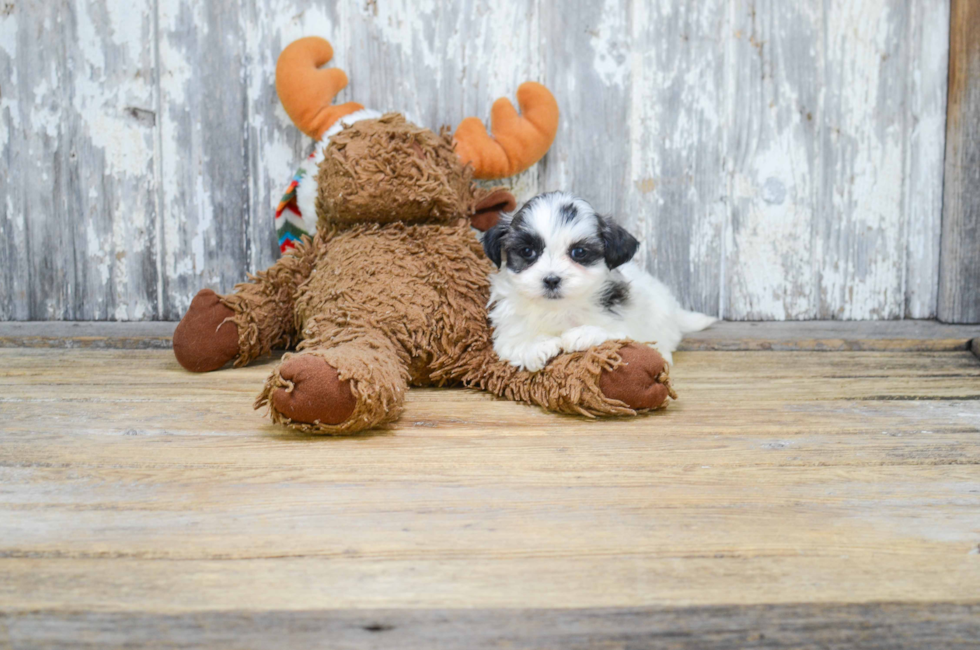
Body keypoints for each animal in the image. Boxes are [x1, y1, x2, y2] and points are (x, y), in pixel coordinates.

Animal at [480, 190, 712, 370]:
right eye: (527, 251)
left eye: (579, 252)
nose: (552, 280)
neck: (560, 309)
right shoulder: (507, 334)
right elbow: (515, 342)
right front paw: (537, 345)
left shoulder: (628, 326)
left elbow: (615, 333)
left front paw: (583, 334)